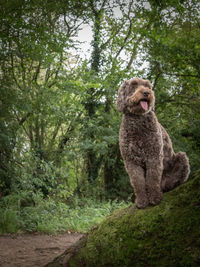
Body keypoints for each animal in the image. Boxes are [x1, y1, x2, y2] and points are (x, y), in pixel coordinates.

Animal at [117, 78, 191, 209]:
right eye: (134, 85)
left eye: (148, 86)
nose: (146, 92)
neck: (138, 120)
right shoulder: (131, 161)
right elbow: (138, 181)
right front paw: (141, 201)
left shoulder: (153, 155)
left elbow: (152, 178)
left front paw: (154, 198)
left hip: (181, 157)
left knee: (176, 179)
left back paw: (166, 186)